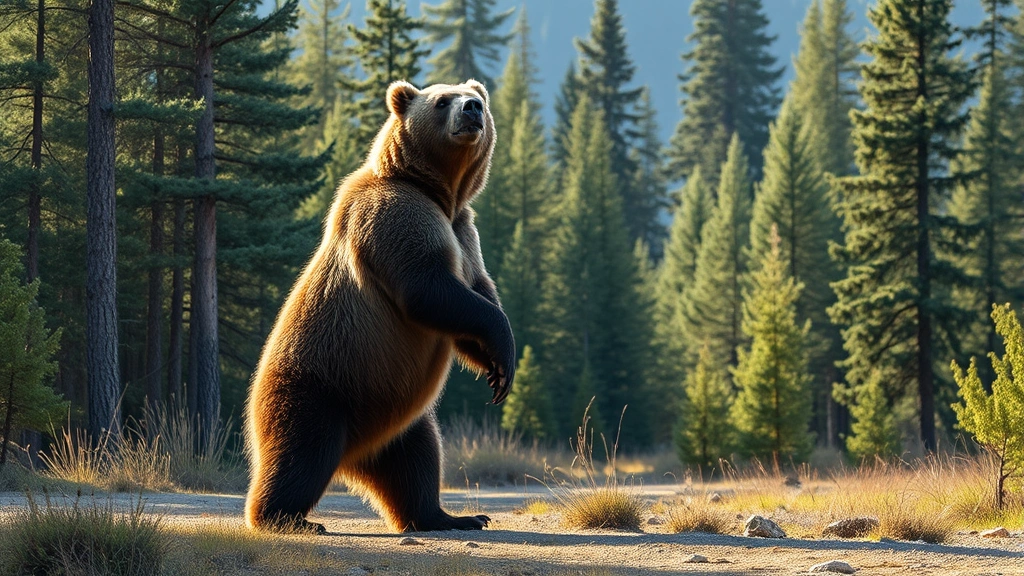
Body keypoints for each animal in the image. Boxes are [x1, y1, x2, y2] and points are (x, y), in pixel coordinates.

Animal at [243, 79, 516, 534]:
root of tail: (355, 452)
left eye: (478, 98)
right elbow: (429, 290)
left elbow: (473, 296)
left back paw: (452, 516)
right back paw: (286, 518)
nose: (472, 110)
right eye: (442, 100)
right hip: (322, 383)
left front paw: (499, 369)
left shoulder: (464, 232)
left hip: (396, 412)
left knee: (418, 459)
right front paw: (501, 346)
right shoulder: (394, 215)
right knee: (302, 452)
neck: (440, 194)